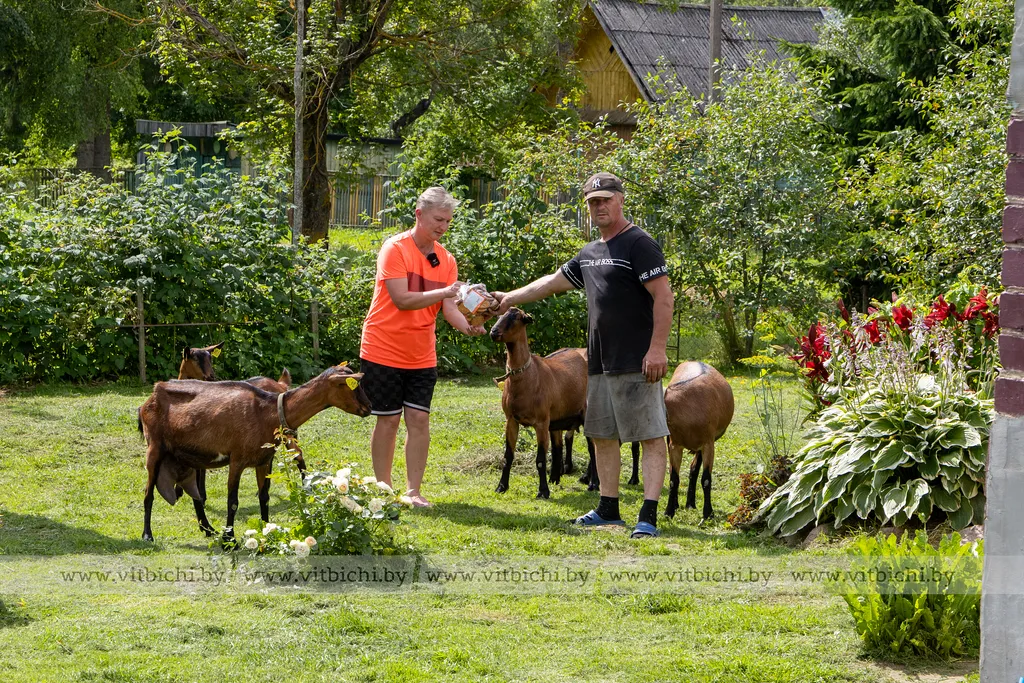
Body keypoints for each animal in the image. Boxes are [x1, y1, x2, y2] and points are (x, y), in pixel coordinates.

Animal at [138, 364, 371, 543]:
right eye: (349, 385)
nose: (368, 407)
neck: (266, 411)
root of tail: (149, 398)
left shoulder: (264, 461)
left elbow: (264, 496)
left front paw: (268, 531)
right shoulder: (237, 460)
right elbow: (232, 501)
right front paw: (229, 540)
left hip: (190, 458)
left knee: (195, 494)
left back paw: (208, 529)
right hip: (155, 448)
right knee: (149, 493)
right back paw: (148, 535)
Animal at [489, 308, 590, 499]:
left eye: (516, 317)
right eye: (499, 316)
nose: (493, 332)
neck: (526, 376)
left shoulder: (542, 423)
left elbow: (541, 459)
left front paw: (543, 491)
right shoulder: (511, 420)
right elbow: (508, 456)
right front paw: (501, 486)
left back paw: (591, 482)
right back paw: (558, 477)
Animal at [663, 361, 734, 520]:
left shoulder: (708, 444)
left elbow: (706, 479)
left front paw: (708, 513)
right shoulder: (674, 444)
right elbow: (673, 479)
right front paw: (669, 511)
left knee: (694, 469)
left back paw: (691, 504)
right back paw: (683, 504)